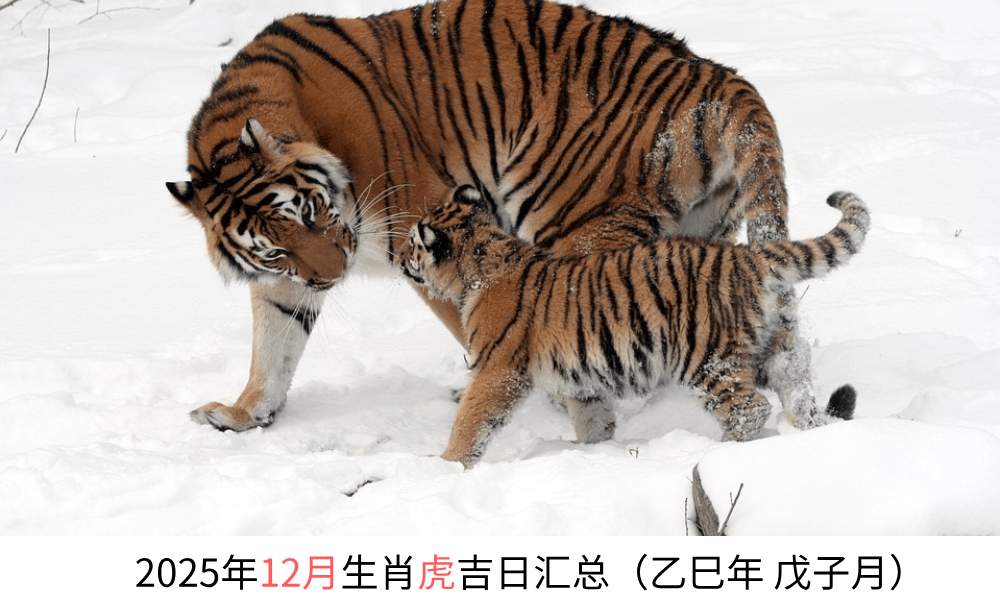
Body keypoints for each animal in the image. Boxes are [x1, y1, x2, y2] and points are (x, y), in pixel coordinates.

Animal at [166, 0, 815, 435]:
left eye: (310, 211)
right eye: (275, 247)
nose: (333, 275)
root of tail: (718, 76)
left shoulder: (422, 228)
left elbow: (476, 322)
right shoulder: (286, 279)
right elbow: (273, 343)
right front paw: (243, 413)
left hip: (576, 225)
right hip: (699, 235)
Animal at [401, 186, 868, 467]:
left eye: (411, 244)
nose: (401, 259)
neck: (481, 261)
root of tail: (747, 256)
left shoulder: (498, 370)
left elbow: (472, 420)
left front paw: (446, 465)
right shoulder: (580, 377)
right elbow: (592, 418)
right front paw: (589, 450)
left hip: (706, 358)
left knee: (749, 408)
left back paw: (717, 452)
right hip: (771, 347)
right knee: (797, 386)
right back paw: (808, 433)